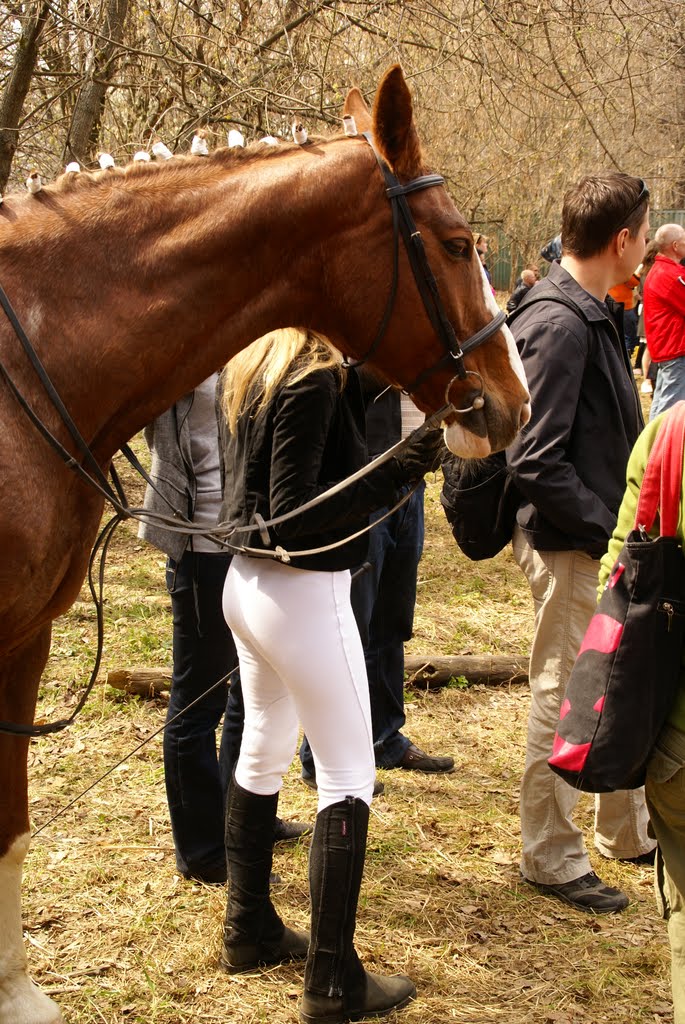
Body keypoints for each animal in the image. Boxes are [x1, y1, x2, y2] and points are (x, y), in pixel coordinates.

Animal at [0, 66, 528, 1024]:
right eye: (454, 243)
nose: (509, 401)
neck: (27, 371)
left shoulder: (23, 641)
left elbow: (10, 828)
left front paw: (17, 994)